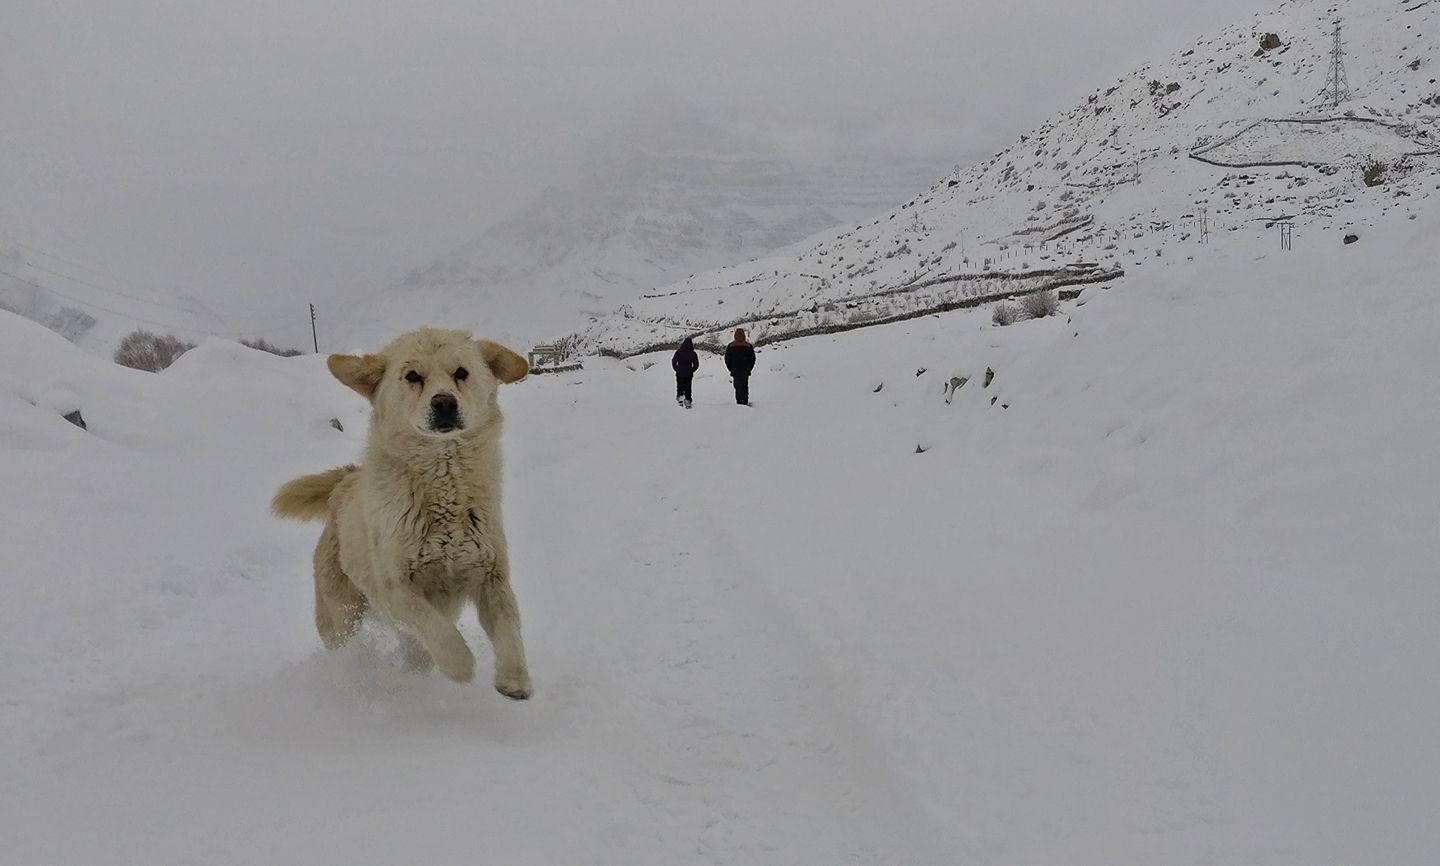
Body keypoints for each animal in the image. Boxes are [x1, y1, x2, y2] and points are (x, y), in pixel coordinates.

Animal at [270, 327, 535, 700]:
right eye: (412, 376)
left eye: (461, 372)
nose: (444, 402)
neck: (444, 490)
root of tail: (347, 479)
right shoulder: (396, 588)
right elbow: (437, 628)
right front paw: (460, 665)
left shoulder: (492, 575)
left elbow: (509, 625)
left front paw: (514, 679)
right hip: (341, 615)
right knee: (350, 644)